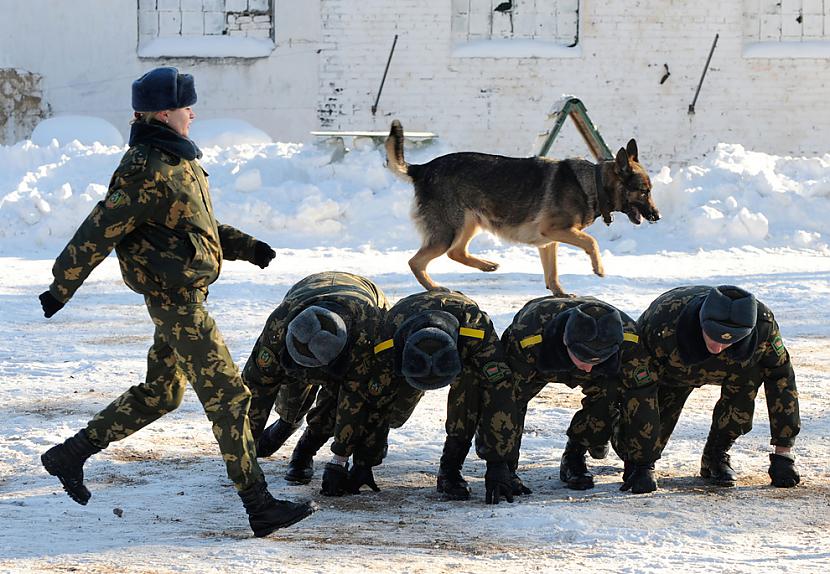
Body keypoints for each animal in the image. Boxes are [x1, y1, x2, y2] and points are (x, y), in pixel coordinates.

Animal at [388, 119, 664, 294]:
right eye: (644, 191)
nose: (657, 216)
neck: (594, 183)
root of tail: (422, 168)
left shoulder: (549, 241)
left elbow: (552, 274)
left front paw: (560, 293)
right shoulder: (556, 232)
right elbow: (591, 242)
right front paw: (599, 267)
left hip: (470, 223)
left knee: (456, 253)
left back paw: (486, 265)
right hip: (449, 231)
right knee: (416, 262)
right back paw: (434, 287)